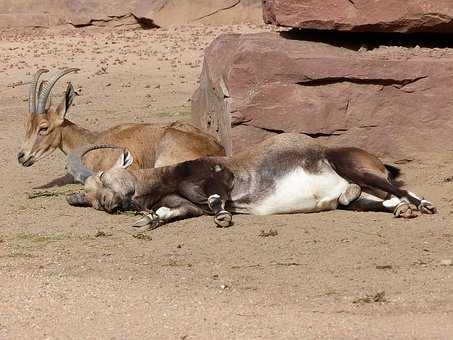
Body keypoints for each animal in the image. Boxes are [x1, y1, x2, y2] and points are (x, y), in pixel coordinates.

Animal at [65, 133, 436, 228]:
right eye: (91, 198)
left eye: (103, 175)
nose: (111, 205)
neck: (168, 178)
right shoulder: (185, 206)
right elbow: (171, 213)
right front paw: (148, 220)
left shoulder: (218, 175)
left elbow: (216, 198)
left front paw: (223, 216)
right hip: (351, 197)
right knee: (373, 198)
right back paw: (401, 210)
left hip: (352, 165)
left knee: (399, 188)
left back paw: (424, 206)